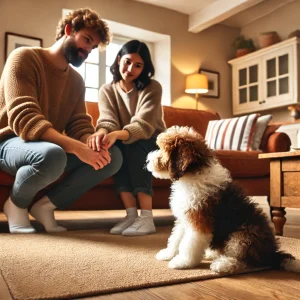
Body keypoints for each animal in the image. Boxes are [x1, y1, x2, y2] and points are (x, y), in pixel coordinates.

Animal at [146, 125, 300, 274]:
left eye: (162, 150)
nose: (148, 160)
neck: (190, 177)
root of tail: (272, 254)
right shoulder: (184, 219)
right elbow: (175, 239)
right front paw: (167, 254)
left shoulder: (199, 222)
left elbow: (188, 244)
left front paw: (182, 262)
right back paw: (212, 254)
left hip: (242, 236)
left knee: (245, 261)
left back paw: (222, 264)